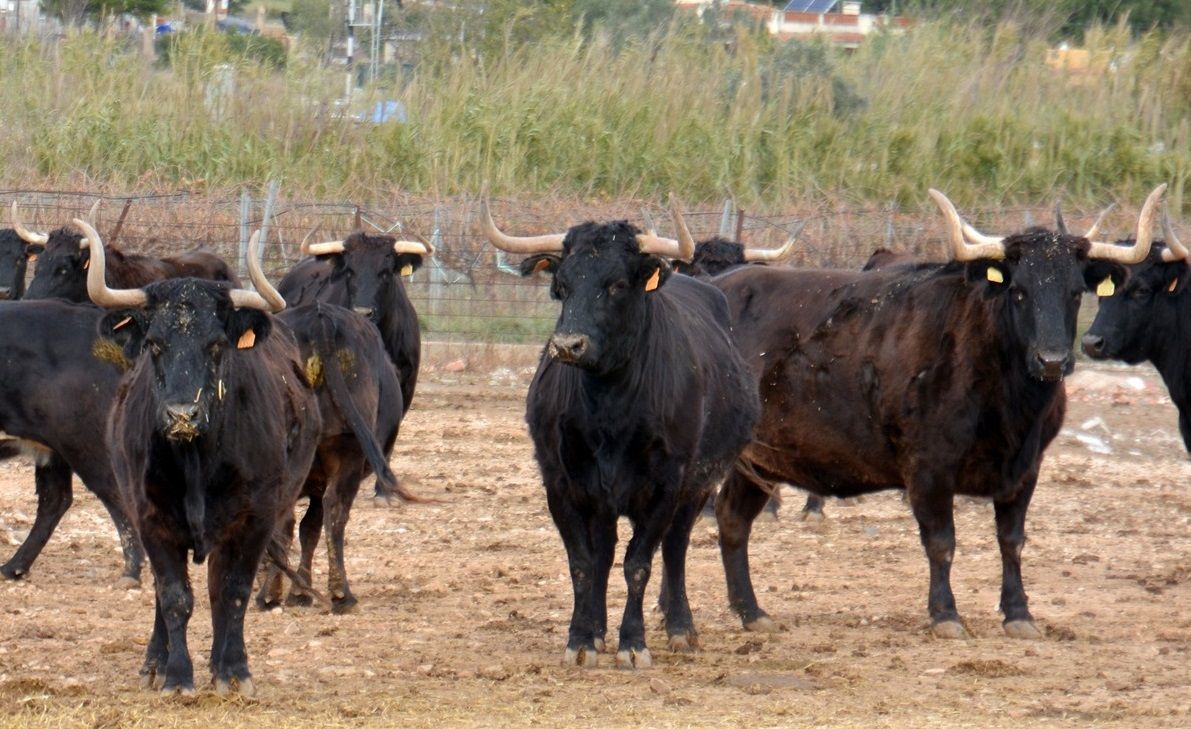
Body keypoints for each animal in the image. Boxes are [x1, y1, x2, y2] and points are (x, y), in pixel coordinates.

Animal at [83, 217, 321, 695]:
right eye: (155, 344)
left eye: (215, 344)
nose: (182, 414)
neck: (196, 461)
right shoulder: (150, 517)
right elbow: (174, 596)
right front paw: (177, 675)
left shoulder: (256, 519)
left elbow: (232, 592)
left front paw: (234, 671)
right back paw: (155, 664)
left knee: (217, 591)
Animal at [481, 202, 752, 667]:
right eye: (561, 285)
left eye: (617, 285)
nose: (568, 346)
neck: (610, 412)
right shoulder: (562, 485)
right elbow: (584, 563)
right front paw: (580, 639)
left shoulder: (666, 487)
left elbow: (639, 563)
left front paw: (634, 643)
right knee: (605, 552)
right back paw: (598, 630)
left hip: (697, 486)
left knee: (675, 547)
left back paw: (681, 628)